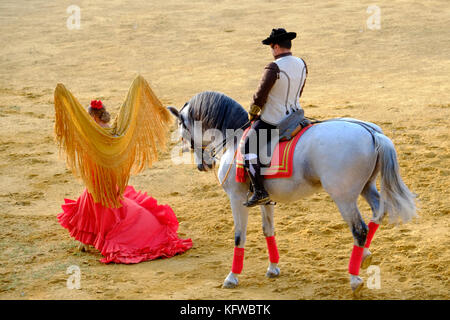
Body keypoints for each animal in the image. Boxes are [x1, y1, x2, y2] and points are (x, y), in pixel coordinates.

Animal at [167, 90, 416, 296]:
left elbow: (239, 236)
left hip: (343, 197)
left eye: (182, 131)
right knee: (379, 211)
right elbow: (268, 230)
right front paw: (273, 268)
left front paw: (232, 277)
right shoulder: (264, 199)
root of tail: (372, 133)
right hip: (366, 186)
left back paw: (355, 279)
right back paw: (364, 256)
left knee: (359, 229)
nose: (203, 165)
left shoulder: (236, 198)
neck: (235, 139)